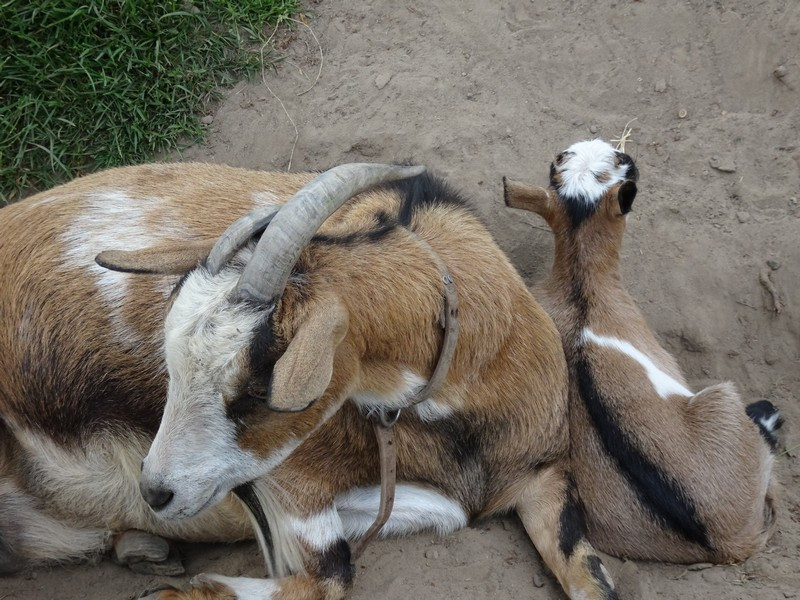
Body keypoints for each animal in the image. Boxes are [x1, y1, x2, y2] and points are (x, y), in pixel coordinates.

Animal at [0, 162, 619, 599]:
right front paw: (175, 591)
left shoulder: (542, 474)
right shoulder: (284, 480)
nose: (154, 492)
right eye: (169, 367)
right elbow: (331, 573)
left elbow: (588, 576)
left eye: (254, 392)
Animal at [503, 139, 782, 563]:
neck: (581, 288)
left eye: (559, 162)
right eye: (623, 163)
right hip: (721, 400)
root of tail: (724, 542)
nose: (617, 148)